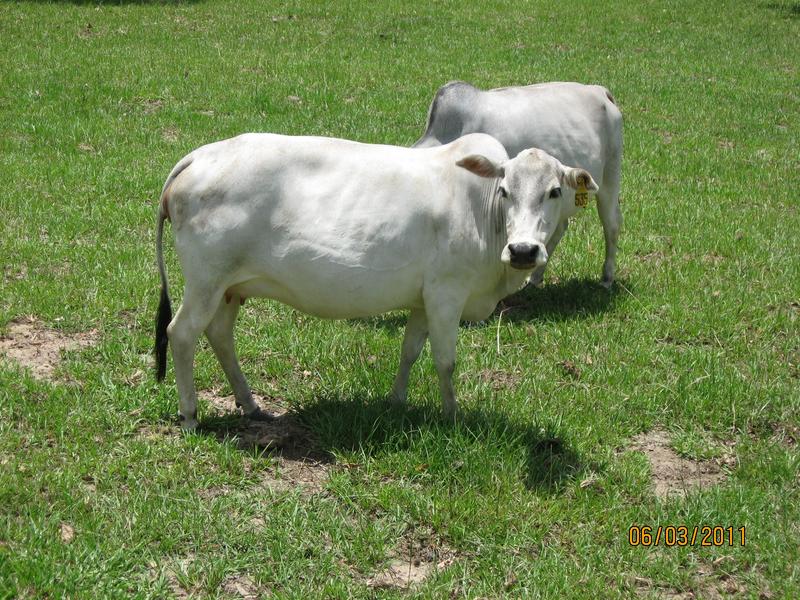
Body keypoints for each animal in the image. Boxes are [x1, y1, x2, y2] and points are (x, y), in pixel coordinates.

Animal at [154, 133, 598, 429]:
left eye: (554, 191)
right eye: (504, 190)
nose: (523, 250)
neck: (481, 211)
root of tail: (198, 155)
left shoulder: (423, 299)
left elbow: (410, 351)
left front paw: (397, 401)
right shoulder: (446, 293)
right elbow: (445, 361)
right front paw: (452, 417)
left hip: (230, 288)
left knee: (219, 335)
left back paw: (249, 403)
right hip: (205, 281)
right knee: (181, 333)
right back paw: (190, 415)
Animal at [414, 81, 623, 287]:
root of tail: (599, 90)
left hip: (610, 178)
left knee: (611, 223)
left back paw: (606, 278)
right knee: (559, 228)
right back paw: (535, 278)